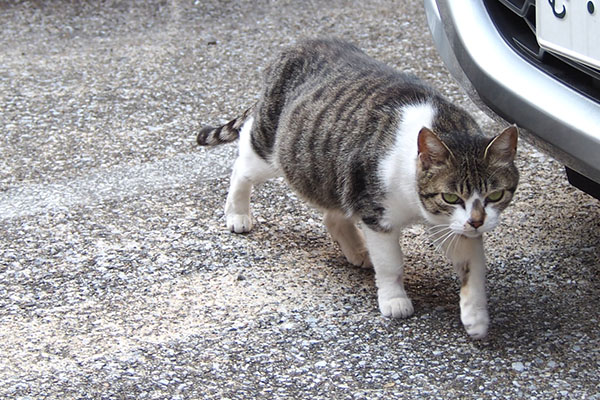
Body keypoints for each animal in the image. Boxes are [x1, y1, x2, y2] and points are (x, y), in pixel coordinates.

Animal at [197, 37, 516, 340]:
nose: (477, 221)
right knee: (243, 162)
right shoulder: (376, 212)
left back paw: (358, 250)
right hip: (276, 151)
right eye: (451, 196)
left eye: (496, 195)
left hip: (333, 173)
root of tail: (295, 46)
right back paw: (237, 213)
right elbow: (391, 264)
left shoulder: (447, 224)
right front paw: (394, 300)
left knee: (333, 213)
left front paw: (476, 317)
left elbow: (473, 266)